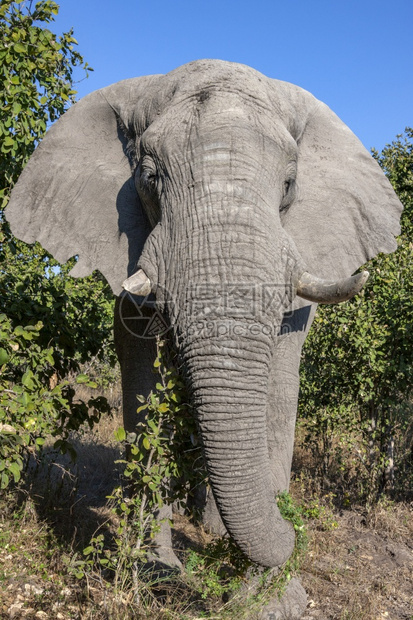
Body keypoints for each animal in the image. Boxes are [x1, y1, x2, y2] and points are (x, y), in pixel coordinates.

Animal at [5, 58, 402, 572]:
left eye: (289, 185)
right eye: (150, 178)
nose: (292, 529)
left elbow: (280, 378)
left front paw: (256, 565)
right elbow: (143, 377)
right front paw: (157, 566)